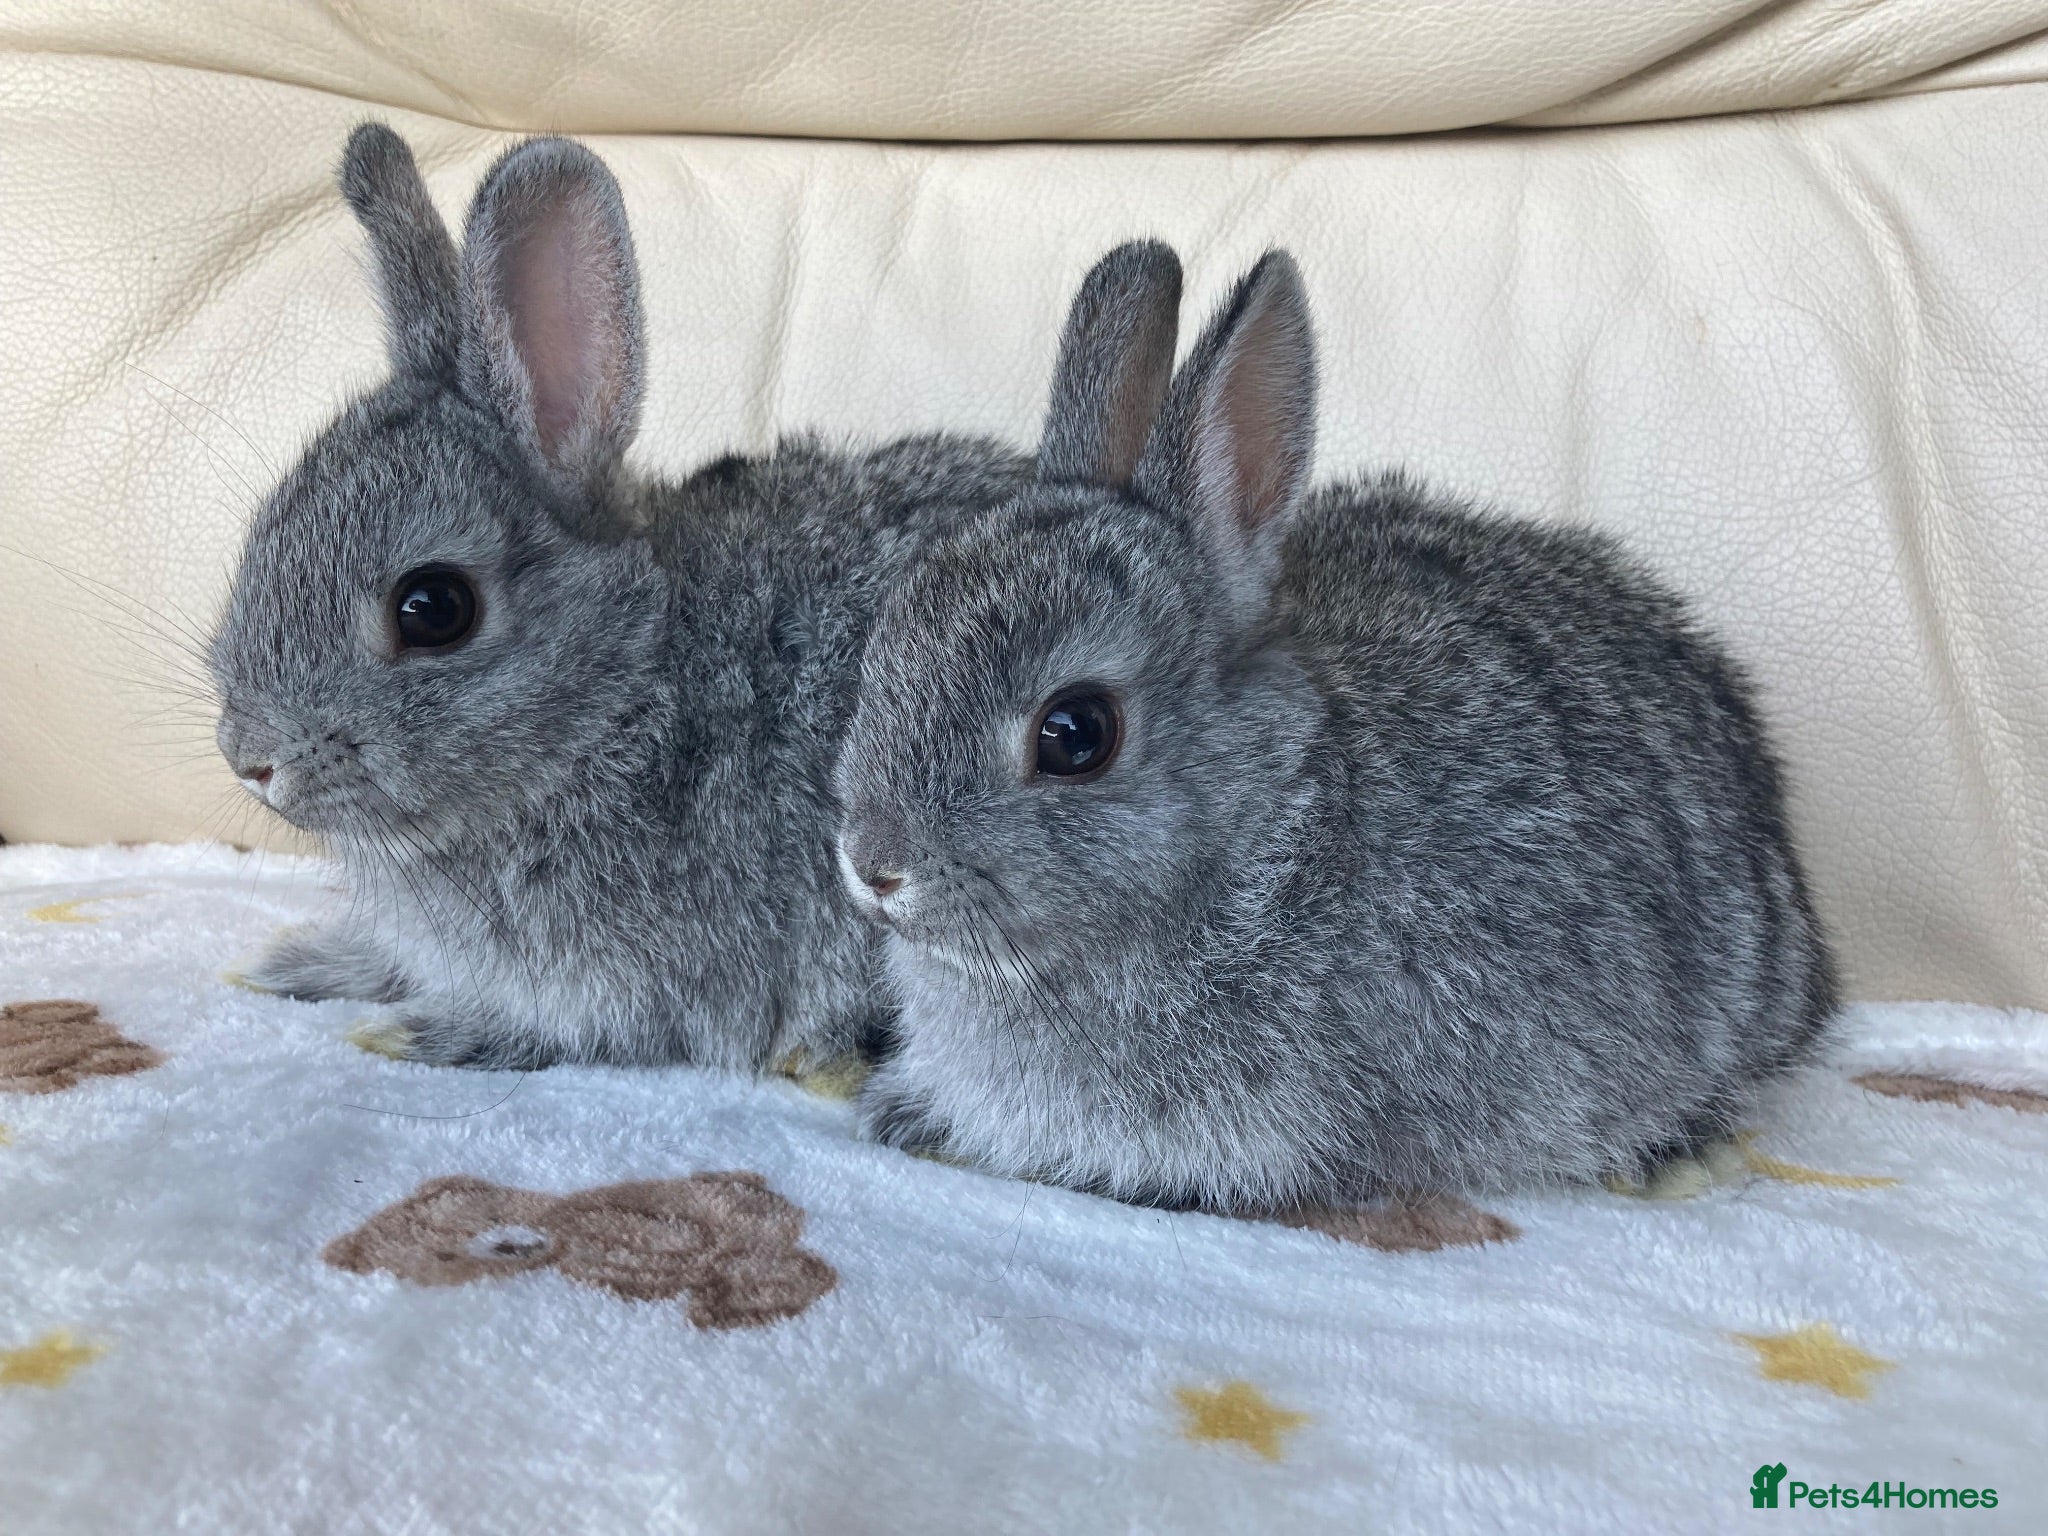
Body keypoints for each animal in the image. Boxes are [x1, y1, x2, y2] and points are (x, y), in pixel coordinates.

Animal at [209, 124, 1029, 1070]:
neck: (621, 696)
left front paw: (409, 1028)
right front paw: (289, 961)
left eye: (433, 609)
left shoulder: (648, 985)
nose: (250, 758)